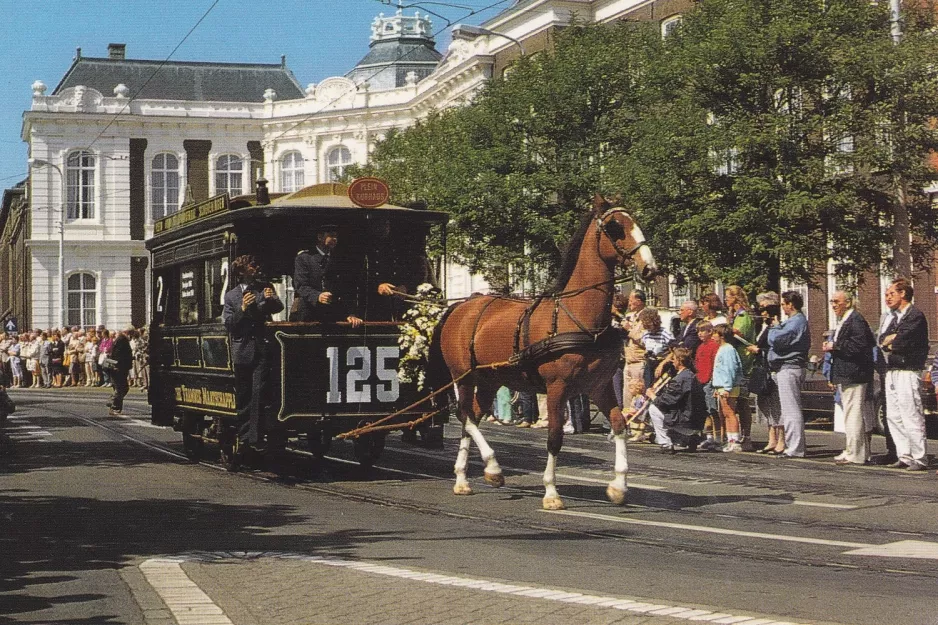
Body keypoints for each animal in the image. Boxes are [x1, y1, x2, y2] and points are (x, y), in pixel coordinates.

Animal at [426, 195, 656, 508]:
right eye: (615, 227)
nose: (649, 268)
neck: (578, 316)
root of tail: (459, 307)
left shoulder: (599, 385)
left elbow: (619, 424)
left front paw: (618, 486)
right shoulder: (557, 387)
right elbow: (555, 436)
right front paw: (551, 492)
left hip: (489, 381)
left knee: (470, 416)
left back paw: (465, 477)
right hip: (463, 376)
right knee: (465, 415)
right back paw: (492, 468)